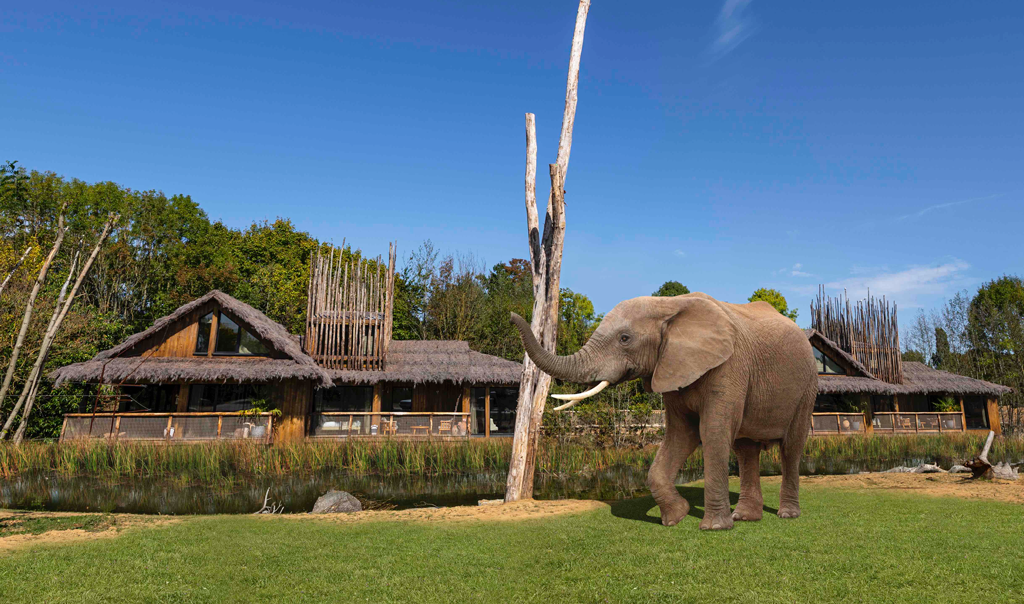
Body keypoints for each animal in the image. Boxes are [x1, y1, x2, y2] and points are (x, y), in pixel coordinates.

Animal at [511, 292, 817, 530]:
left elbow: (712, 432)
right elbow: (682, 434)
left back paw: (787, 515)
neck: (669, 305)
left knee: (791, 446)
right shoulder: (671, 366)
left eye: (625, 338)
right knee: (746, 450)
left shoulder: (728, 367)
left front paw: (713, 528)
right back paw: (744, 517)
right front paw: (675, 518)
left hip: (807, 387)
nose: (514, 315)